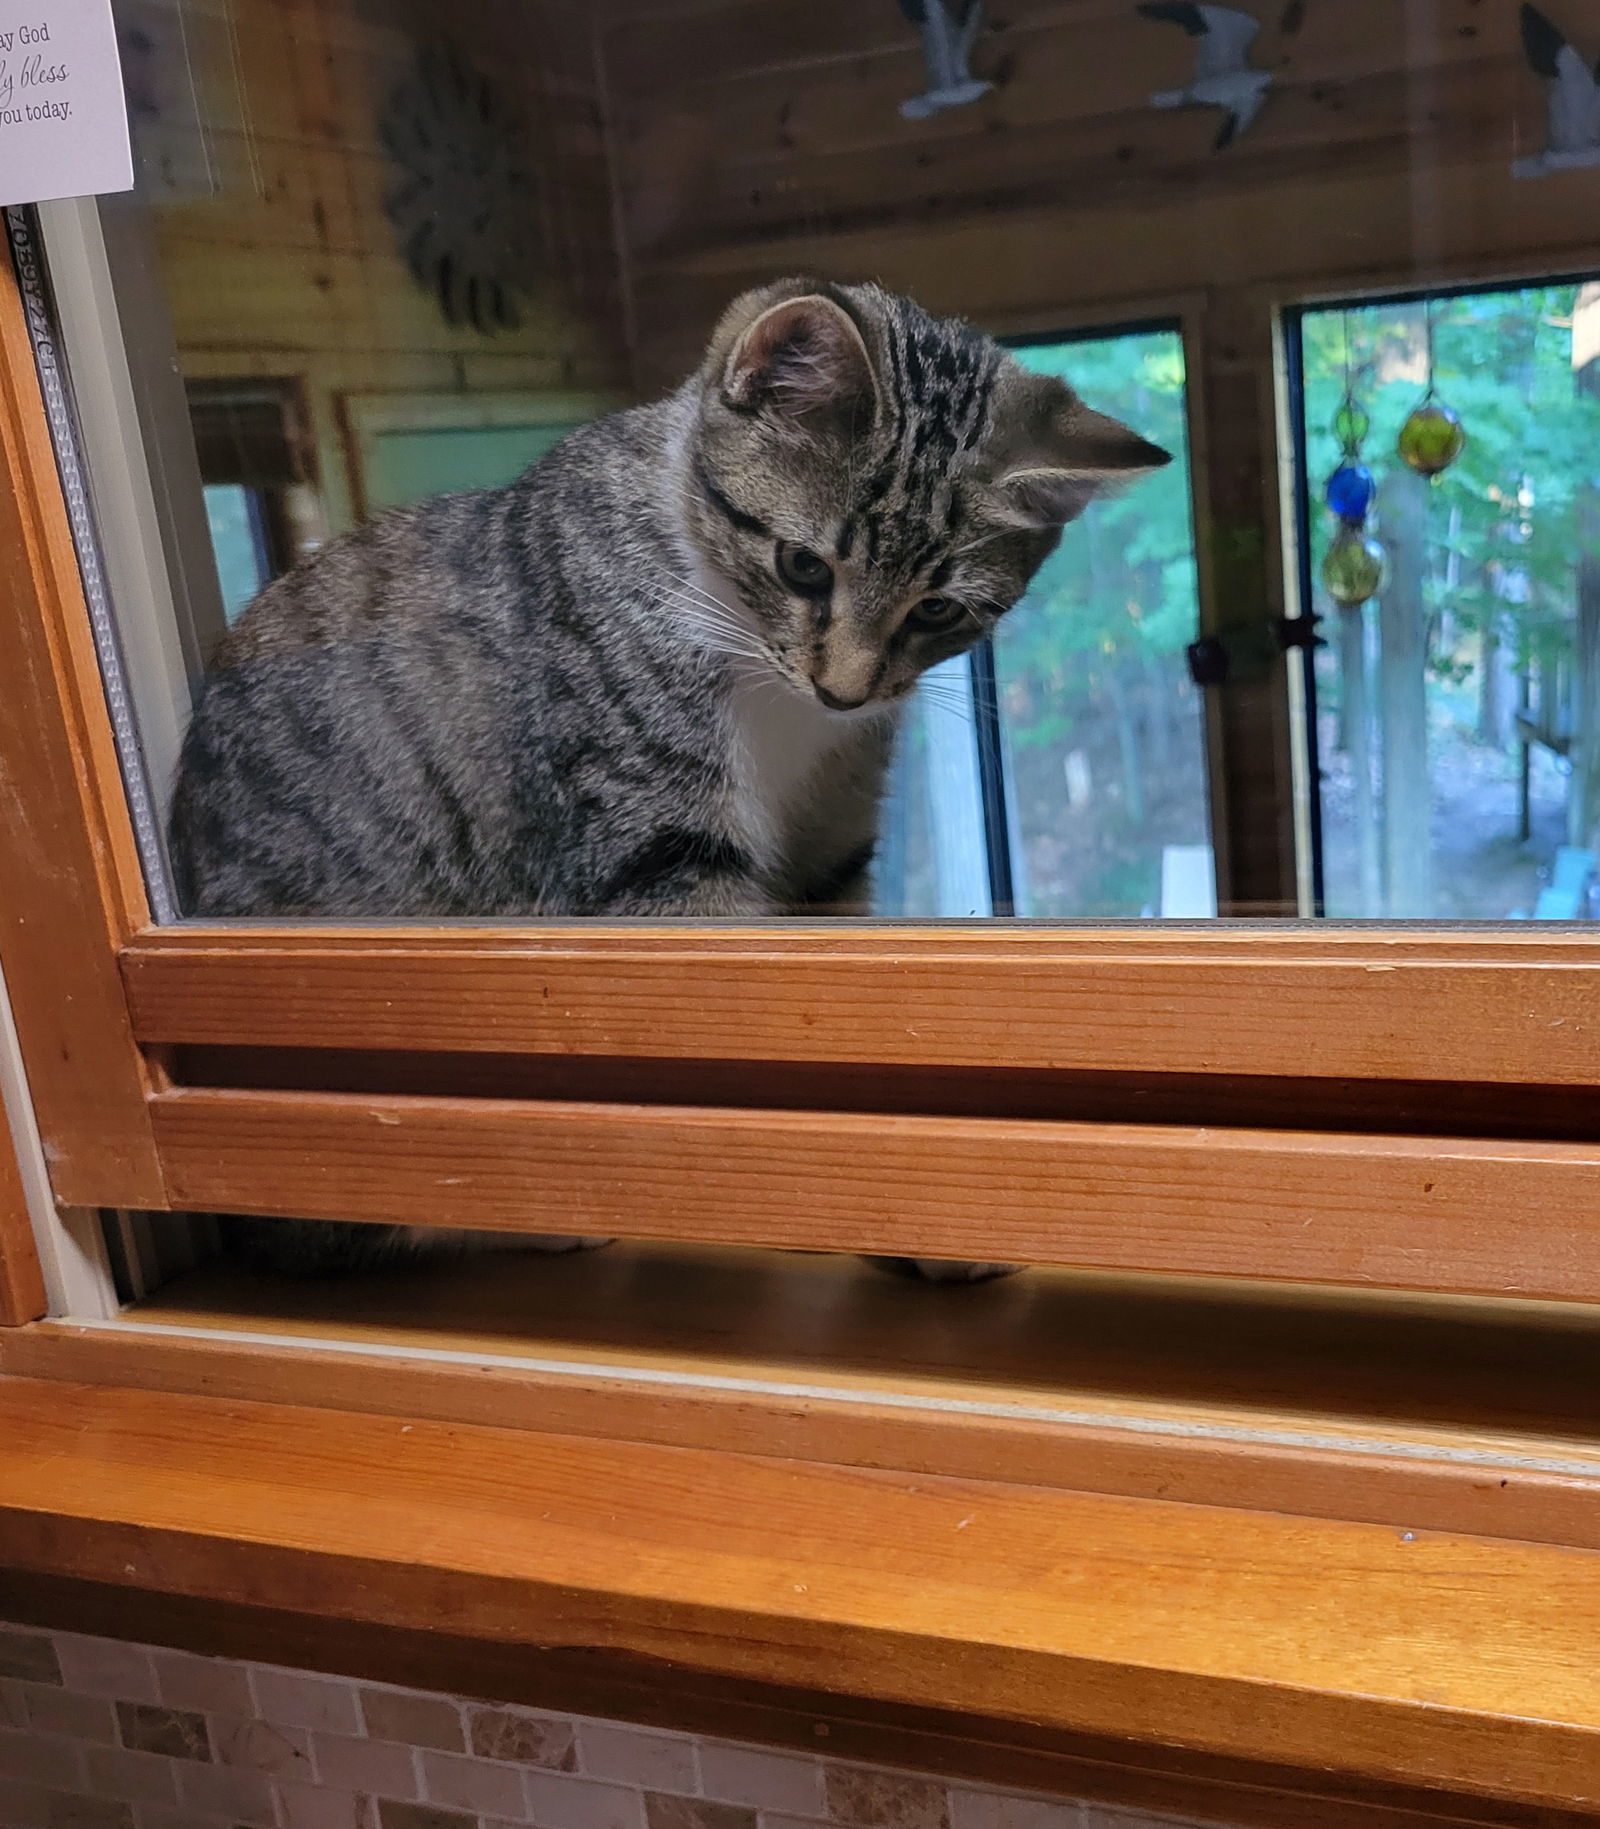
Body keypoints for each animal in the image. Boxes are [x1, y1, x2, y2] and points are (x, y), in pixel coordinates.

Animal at [175, 278, 1170, 1287]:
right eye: (803, 564)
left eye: (937, 609)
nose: (844, 690)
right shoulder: (656, 848)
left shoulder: (830, 846)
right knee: (328, 1219)